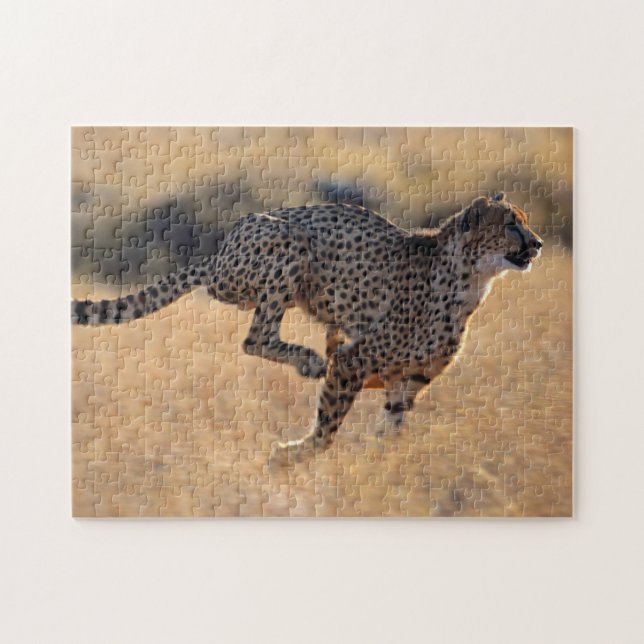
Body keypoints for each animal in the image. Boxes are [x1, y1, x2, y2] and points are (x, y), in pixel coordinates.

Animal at [72, 193, 543, 459]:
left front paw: (380, 466)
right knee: (255, 338)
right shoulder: (355, 361)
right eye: (510, 224)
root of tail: (219, 253)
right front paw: (292, 456)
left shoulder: (408, 381)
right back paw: (309, 360)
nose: (537, 243)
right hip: (286, 242)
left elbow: (389, 432)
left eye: (523, 220)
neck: (470, 279)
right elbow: (328, 427)